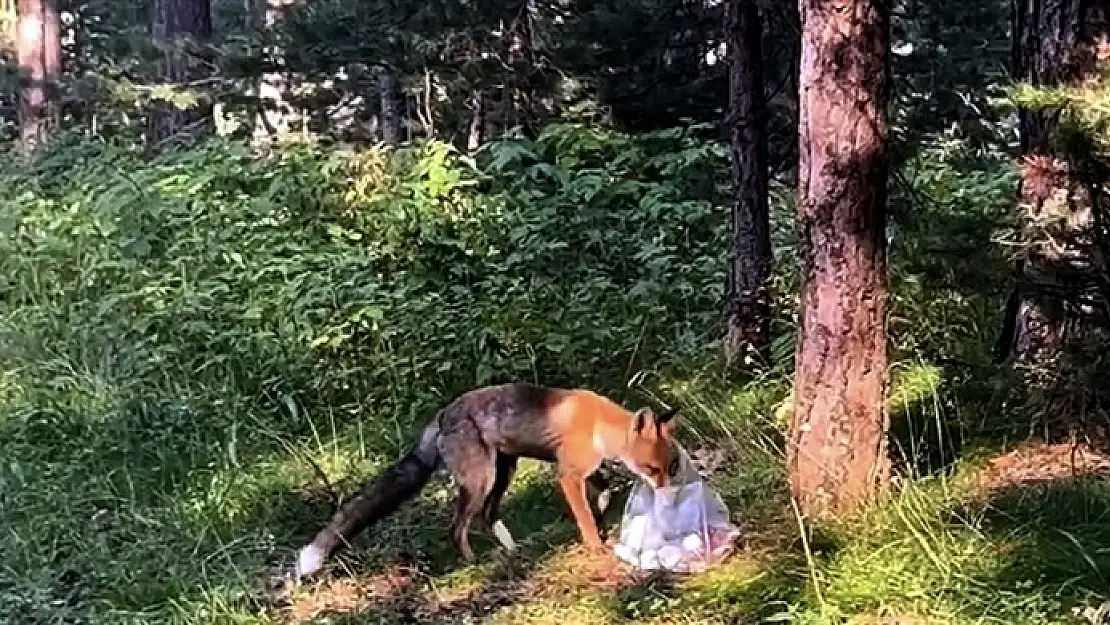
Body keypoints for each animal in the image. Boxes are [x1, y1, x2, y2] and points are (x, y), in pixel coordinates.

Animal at [295, 381, 674, 577]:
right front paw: (596, 543)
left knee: (486, 517)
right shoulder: (567, 474)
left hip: (503, 473)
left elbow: (605, 490)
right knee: (458, 527)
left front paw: (600, 514)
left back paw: (511, 552)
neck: (597, 425)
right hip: (482, 480)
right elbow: (584, 515)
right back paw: (473, 565)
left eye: (668, 467)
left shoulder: (583, 469)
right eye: (653, 469)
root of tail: (443, 414)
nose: (667, 495)